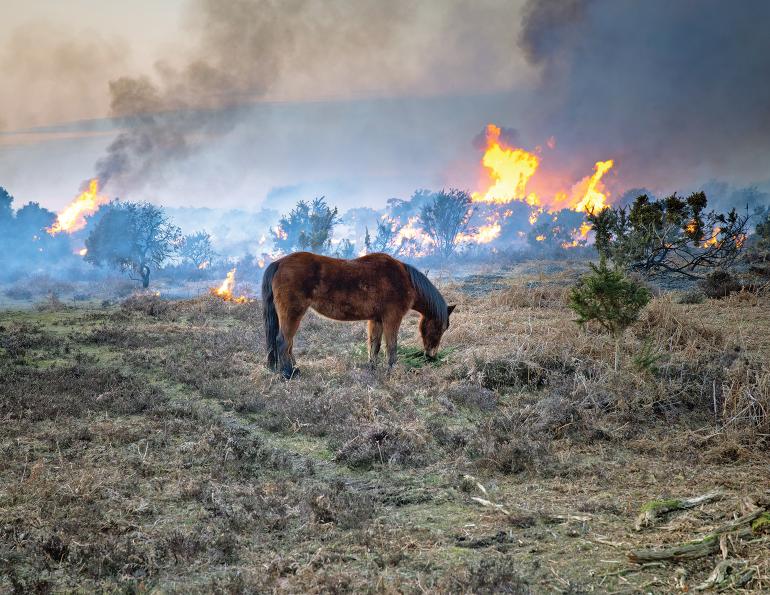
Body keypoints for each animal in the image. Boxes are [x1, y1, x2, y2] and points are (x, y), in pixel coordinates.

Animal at [261, 251, 455, 379]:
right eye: (440, 327)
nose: (431, 356)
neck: (404, 279)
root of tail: (279, 263)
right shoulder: (392, 318)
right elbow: (391, 346)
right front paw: (391, 371)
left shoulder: (376, 319)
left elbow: (374, 345)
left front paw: (372, 369)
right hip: (292, 314)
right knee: (283, 342)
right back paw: (288, 373)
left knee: (288, 344)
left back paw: (294, 370)